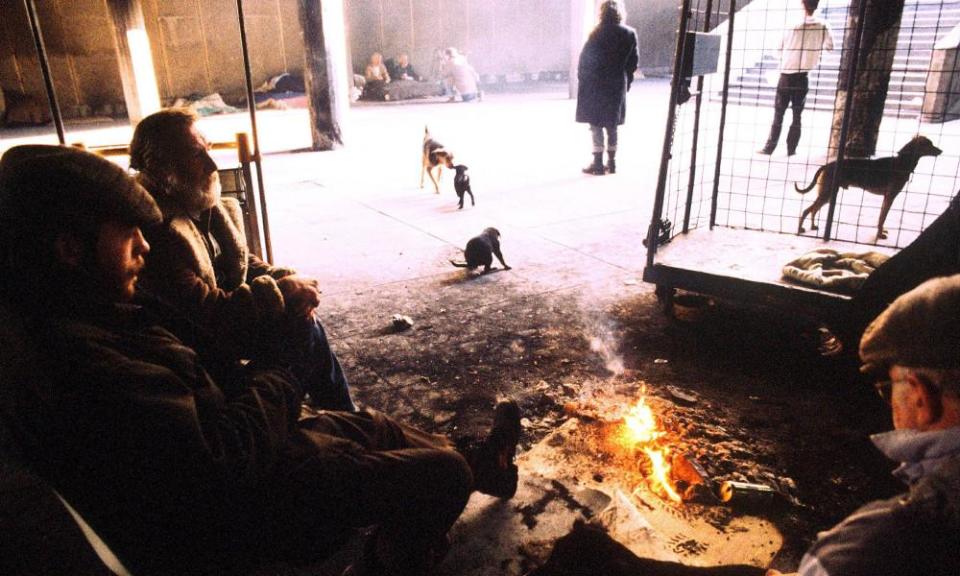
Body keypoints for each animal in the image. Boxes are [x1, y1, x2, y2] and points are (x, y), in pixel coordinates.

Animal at [796, 136, 944, 240]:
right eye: (928, 144)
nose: (941, 151)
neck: (901, 163)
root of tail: (827, 165)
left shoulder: (886, 198)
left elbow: (881, 218)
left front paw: (881, 231)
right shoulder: (890, 197)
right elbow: (882, 218)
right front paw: (879, 235)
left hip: (828, 195)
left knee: (813, 210)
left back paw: (813, 226)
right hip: (827, 193)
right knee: (806, 210)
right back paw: (800, 229)